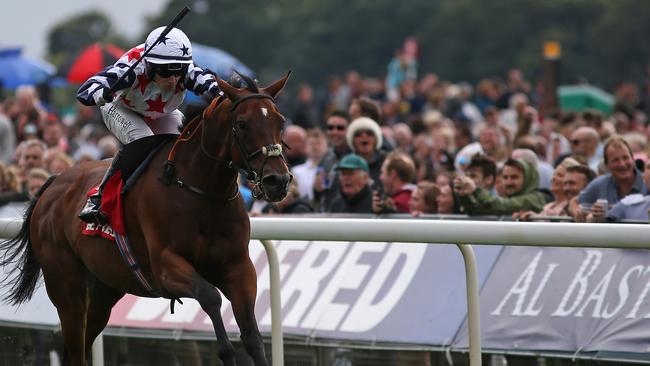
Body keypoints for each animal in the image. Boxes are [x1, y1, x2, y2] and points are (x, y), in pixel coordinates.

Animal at [0, 73, 290, 364]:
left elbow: (252, 336)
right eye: (242, 124)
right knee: (75, 348)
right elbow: (210, 297)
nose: (277, 181)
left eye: (281, 121)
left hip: (104, 290)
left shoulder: (239, 266)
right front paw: (226, 352)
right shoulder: (165, 267)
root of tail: (53, 183)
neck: (201, 191)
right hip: (67, 288)